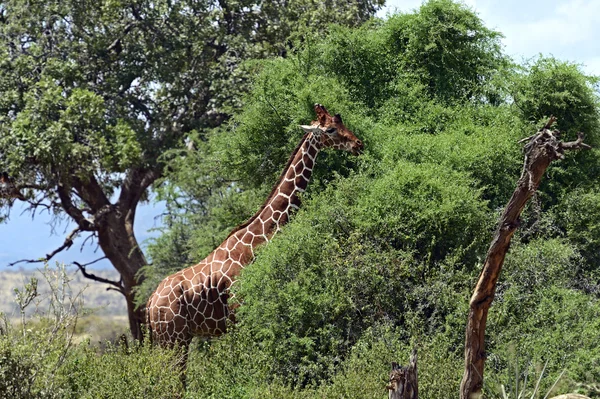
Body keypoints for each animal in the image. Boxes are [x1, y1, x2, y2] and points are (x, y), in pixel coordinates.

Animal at [148, 104, 364, 356]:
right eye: (330, 129)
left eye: (341, 122)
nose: (358, 144)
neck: (258, 240)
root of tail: (150, 303)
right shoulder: (239, 311)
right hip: (173, 339)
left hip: (169, 339)